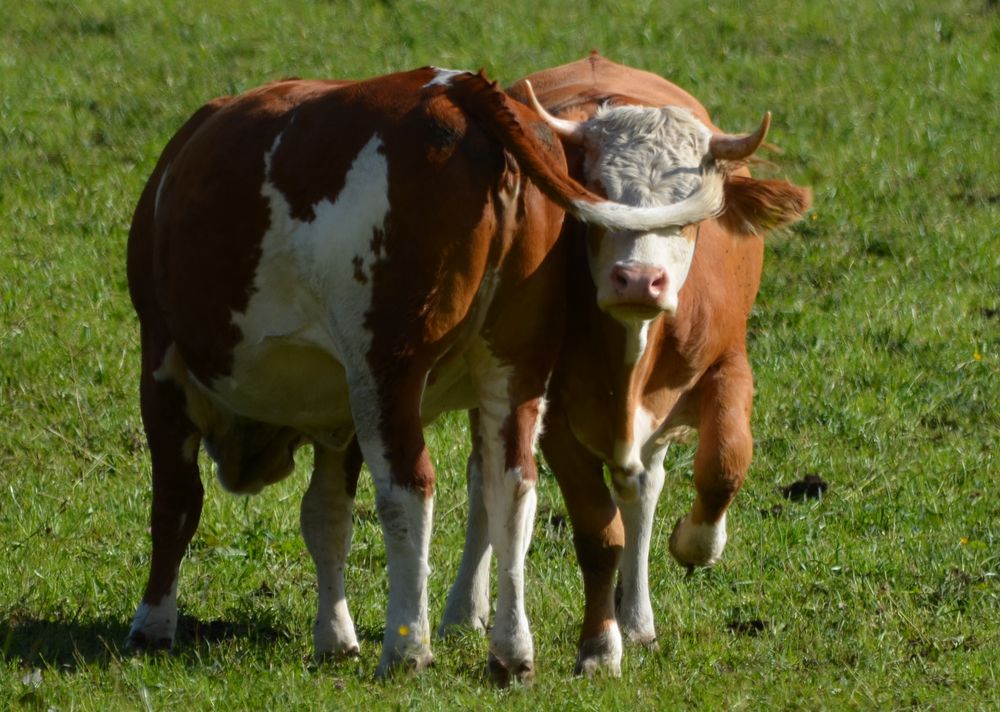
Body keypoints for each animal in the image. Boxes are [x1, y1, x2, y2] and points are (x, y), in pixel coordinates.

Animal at [123, 68, 712, 684]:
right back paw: (511, 651)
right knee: (512, 486)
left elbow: (176, 504)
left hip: (389, 369)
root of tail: (459, 90)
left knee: (410, 491)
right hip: (513, 363)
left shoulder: (162, 365)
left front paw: (153, 623)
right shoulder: (341, 411)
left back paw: (408, 648)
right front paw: (335, 637)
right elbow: (327, 518)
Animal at [442, 54, 808, 672]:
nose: (639, 279)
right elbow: (597, 531)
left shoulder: (728, 366)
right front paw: (598, 648)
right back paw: (463, 610)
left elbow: (725, 463)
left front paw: (692, 544)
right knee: (485, 479)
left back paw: (637, 618)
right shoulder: (554, 414)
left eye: (690, 212)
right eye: (599, 195)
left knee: (644, 488)